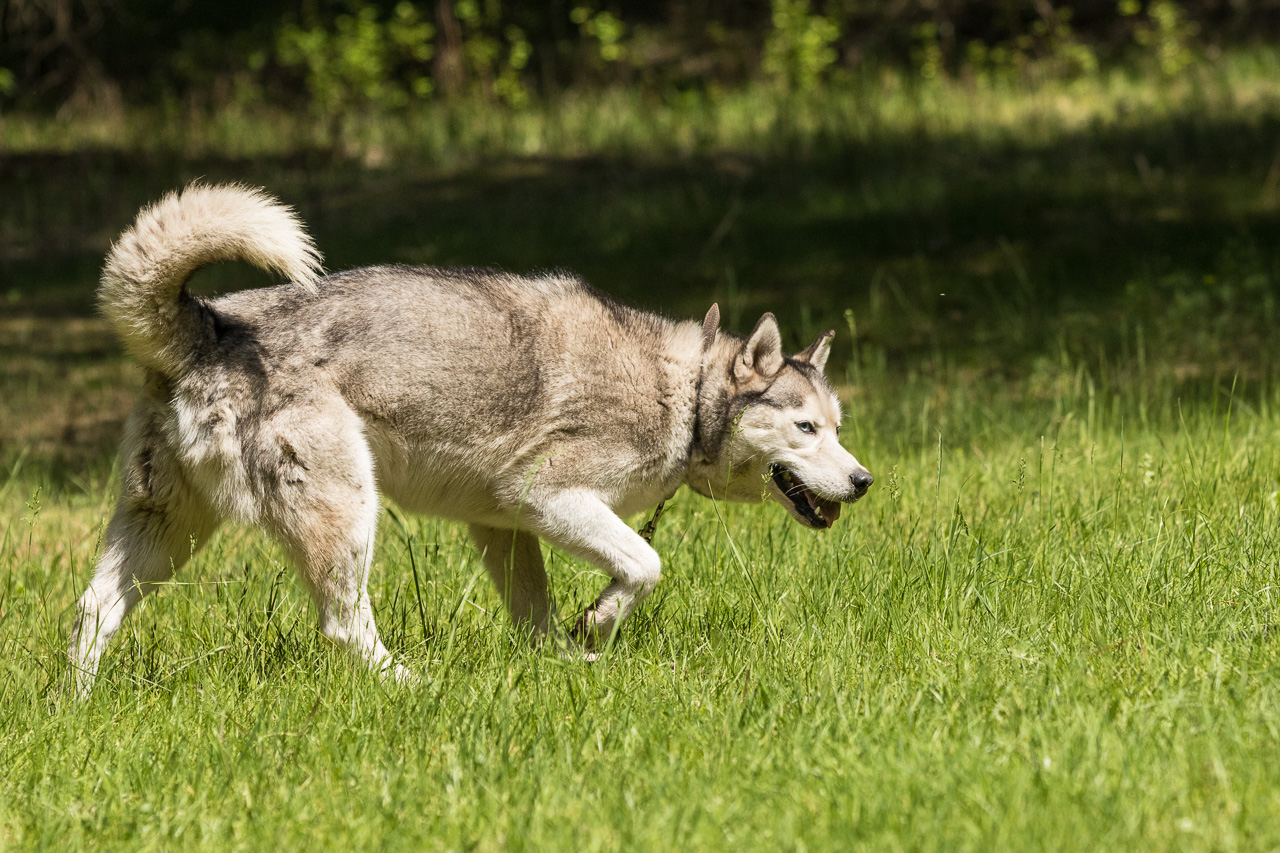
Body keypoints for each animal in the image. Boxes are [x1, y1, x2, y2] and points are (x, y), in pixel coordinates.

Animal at [68, 183, 874, 694]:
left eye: (837, 427)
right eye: (805, 428)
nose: (865, 482)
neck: (683, 392)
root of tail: (212, 327)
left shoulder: (503, 526)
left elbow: (538, 615)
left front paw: (561, 661)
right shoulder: (549, 497)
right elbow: (645, 565)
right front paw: (597, 623)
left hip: (166, 530)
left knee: (91, 608)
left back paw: (75, 705)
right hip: (346, 511)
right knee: (343, 626)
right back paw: (413, 685)